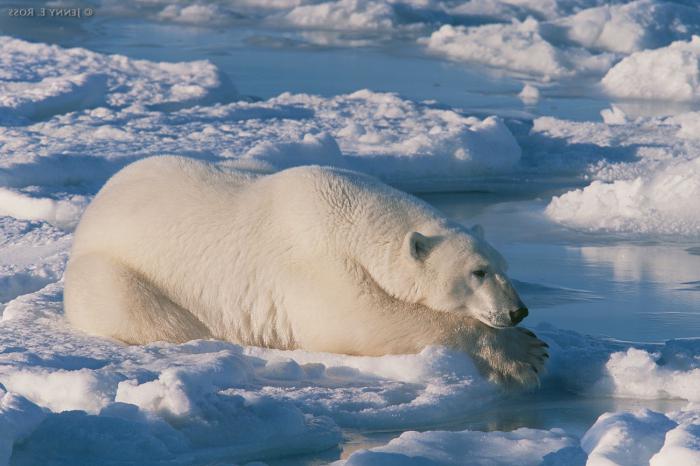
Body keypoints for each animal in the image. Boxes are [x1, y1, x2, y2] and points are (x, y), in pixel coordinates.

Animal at [64, 157, 548, 386]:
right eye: (478, 272)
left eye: (504, 267)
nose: (518, 312)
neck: (354, 218)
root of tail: (94, 207)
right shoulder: (313, 264)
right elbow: (363, 320)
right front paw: (527, 353)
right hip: (112, 273)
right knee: (143, 311)